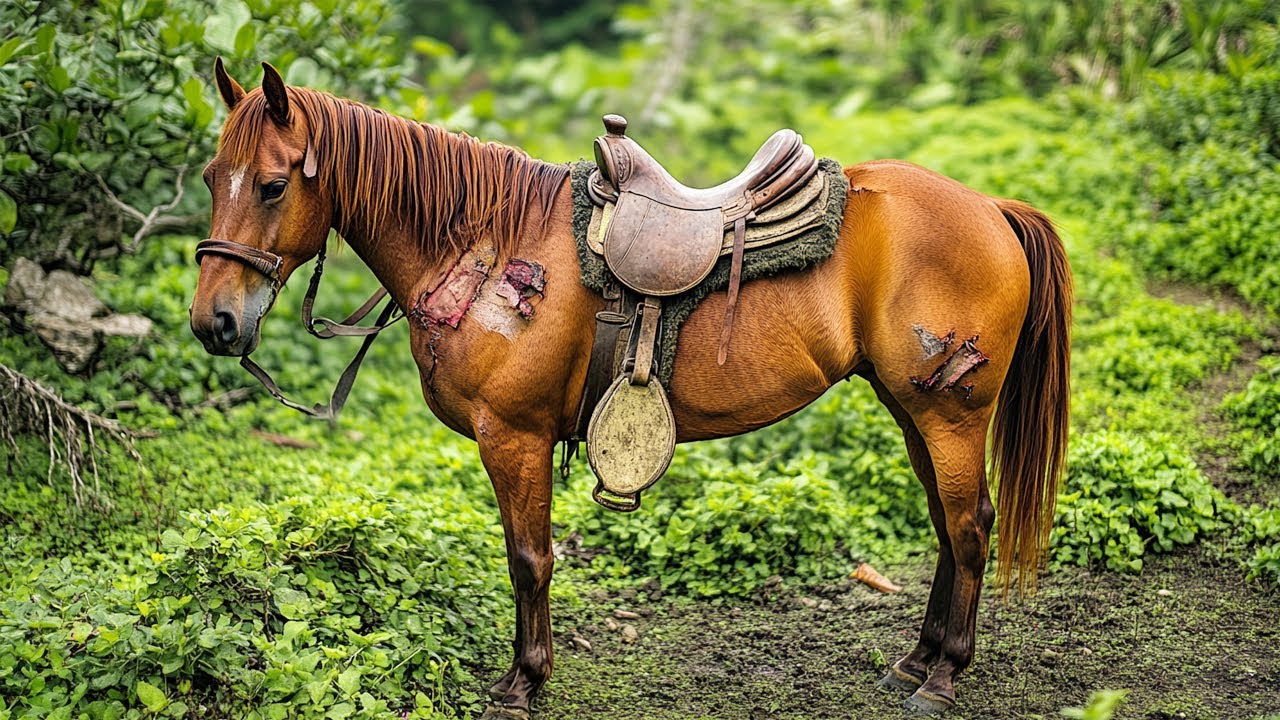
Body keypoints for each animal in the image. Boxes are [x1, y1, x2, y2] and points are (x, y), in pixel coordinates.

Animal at [189, 60, 1071, 718]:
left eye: (272, 185)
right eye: (209, 175)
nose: (214, 323)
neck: (486, 246)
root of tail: (993, 207)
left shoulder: (514, 436)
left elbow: (528, 558)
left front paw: (523, 681)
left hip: (949, 412)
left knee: (971, 525)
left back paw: (944, 676)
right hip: (909, 406)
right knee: (947, 526)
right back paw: (916, 660)